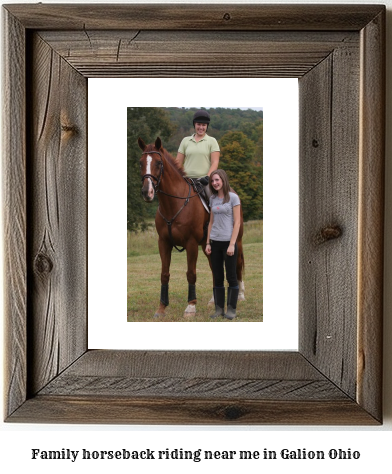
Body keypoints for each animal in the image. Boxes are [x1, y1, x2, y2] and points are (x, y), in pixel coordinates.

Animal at [137, 137, 242, 318]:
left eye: (158, 163)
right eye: (141, 163)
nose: (147, 192)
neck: (174, 204)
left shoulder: (191, 244)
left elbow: (191, 274)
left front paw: (191, 306)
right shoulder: (163, 243)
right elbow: (164, 274)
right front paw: (161, 308)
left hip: (237, 241)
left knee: (239, 264)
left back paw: (241, 294)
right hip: (208, 247)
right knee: (214, 269)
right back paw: (214, 301)